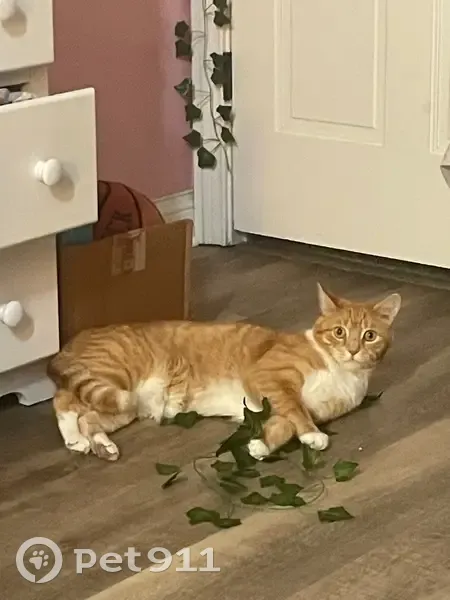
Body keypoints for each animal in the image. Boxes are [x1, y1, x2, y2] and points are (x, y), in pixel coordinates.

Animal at [48, 283, 401, 462]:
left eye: (369, 336)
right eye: (339, 332)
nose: (353, 349)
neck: (341, 373)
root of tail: (71, 342)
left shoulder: (295, 406)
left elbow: (284, 424)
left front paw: (261, 446)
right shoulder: (271, 378)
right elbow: (295, 411)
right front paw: (313, 436)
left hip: (121, 407)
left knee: (88, 418)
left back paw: (98, 446)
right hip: (117, 382)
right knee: (63, 401)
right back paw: (75, 439)